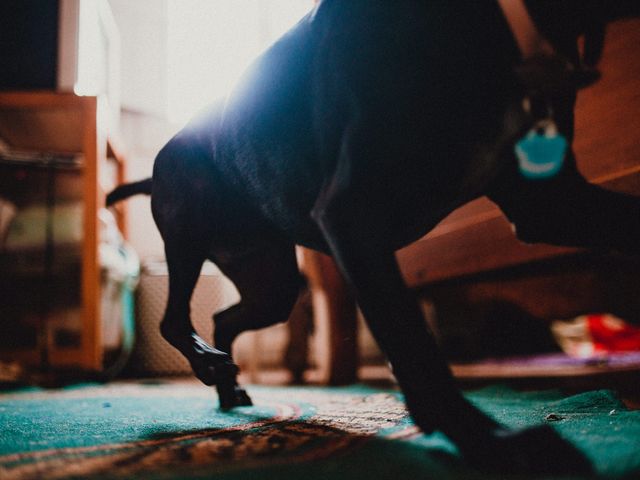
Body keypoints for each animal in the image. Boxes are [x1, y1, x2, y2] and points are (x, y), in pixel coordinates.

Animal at [110, 0, 640, 472]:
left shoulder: (550, 203)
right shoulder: (353, 214)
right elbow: (414, 346)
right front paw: (489, 440)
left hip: (272, 282)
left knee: (224, 318)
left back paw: (229, 387)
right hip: (189, 231)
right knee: (174, 321)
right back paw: (209, 365)